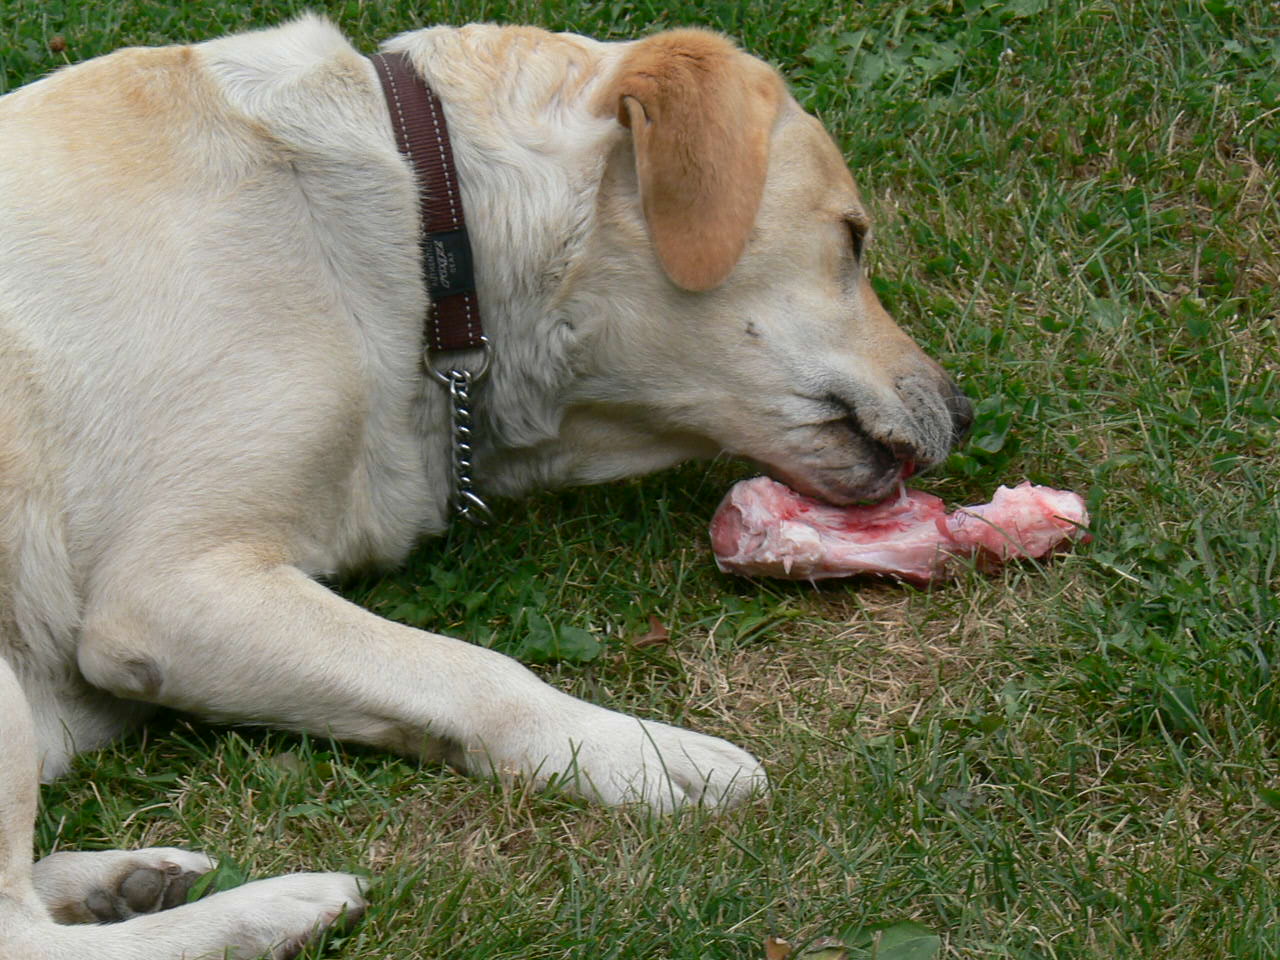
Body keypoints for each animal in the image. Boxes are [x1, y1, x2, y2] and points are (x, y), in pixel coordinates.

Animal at [0, 16, 967, 960]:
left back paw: (128, 880)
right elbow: (474, 668)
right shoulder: (164, 591)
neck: (425, 234)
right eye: (852, 237)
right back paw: (275, 912)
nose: (961, 409)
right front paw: (645, 755)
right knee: (29, 938)